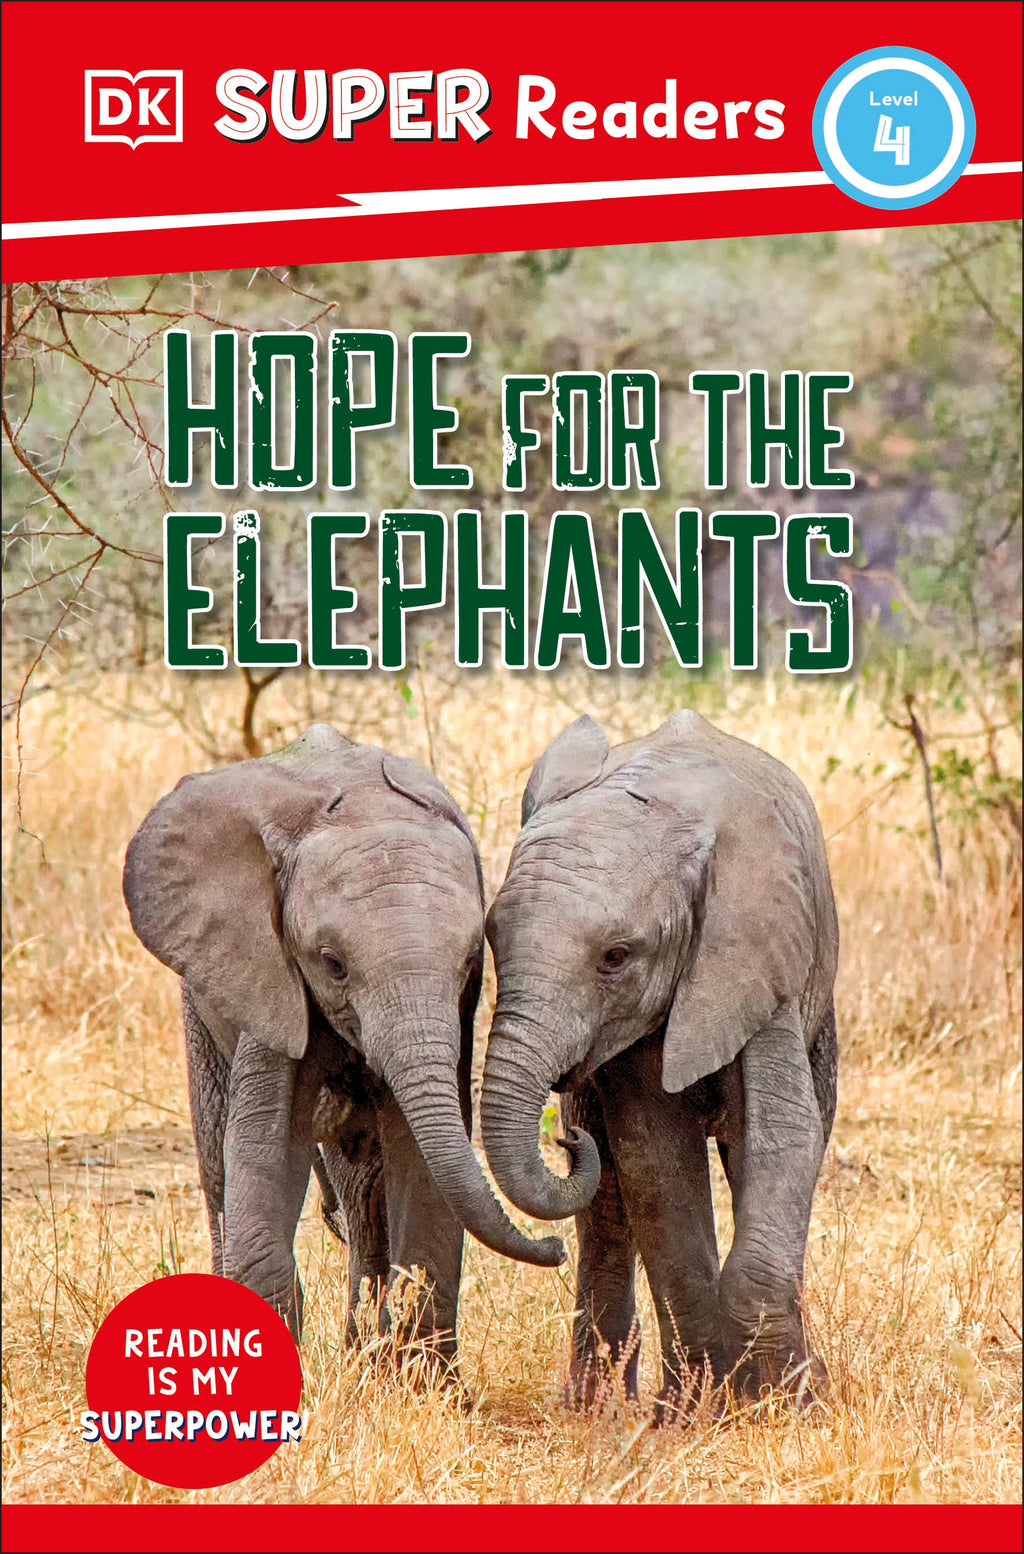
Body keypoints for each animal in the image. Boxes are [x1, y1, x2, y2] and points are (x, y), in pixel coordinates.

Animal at [122, 722, 564, 1374]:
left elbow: (419, 1155)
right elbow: (265, 1144)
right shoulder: (269, 969)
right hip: (200, 998)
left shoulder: (456, 1015)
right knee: (220, 1168)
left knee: (363, 1190)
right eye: (332, 964)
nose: (557, 1246)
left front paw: (423, 1383)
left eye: (468, 960)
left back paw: (366, 1358)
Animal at [480, 709, 839, 1414]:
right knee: (606, 1208)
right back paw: (597, 1407)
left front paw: (780, 1407)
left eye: (616, 957)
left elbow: (783, 1139)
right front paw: (698, 1409)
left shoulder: (757, 961)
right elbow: (654, 1161)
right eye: (490, 937)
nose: (566, 1139)